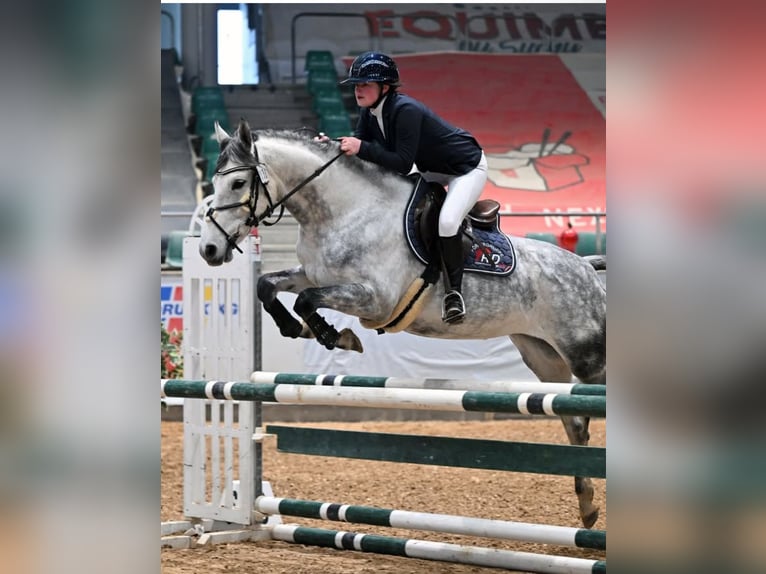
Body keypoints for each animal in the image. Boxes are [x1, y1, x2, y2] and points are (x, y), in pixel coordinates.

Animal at [201, 120, 608, 532]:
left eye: (238, 183)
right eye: (213, 182)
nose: (209, 250)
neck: (343, 212)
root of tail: (585, 266)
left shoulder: (374, 298)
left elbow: (306, 301)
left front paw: (336, 336)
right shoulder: (312, 276)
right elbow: (267, 285)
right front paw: (302, 330)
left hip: (587, 356)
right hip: (543, 356)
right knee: (574, 419)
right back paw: (587, 504)